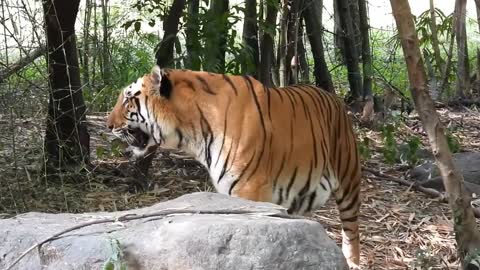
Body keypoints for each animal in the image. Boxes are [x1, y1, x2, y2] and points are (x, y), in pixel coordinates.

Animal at [105, 65, 360, 268]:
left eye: (128, 99)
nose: (108, 125)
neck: (193, 132)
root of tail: (332, 97)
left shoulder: (249, 190)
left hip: (348, 179)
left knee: (351, 230)